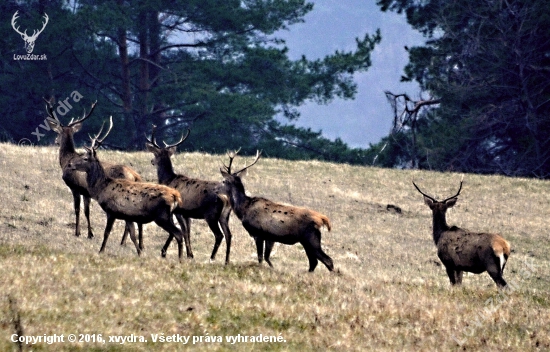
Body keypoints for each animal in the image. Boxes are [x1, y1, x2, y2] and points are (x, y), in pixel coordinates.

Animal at [45, 98, 143, 248]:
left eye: (58, 132)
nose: (56, 141)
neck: (67, 160)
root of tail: (136, 176)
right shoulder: (86, 192)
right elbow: (86, 211)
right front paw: (89, 233)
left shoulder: (75, 187)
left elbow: (78, 210)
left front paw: (79, 232)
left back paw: (124, 242)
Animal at [66, 120, 188, 258]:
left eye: (85, 158)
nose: (70, 164)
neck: (102, 189)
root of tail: (176, 196)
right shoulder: (128, 216)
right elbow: (132, 235)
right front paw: (139, 253)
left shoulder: (112, 211)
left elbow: (106, 232)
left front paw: (101, 250)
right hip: (169, 215)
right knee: (179, 232)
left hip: (162, 215)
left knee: (178, 233)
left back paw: (179, 258)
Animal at [144, 125, 233, 262]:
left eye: (155, 153)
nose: (151, 161)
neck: (168, 180)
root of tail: (225, 198)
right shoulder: (187, 213)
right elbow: (188, 231)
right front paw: (190, 254)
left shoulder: (177, 211)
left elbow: (179, 231)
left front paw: (165, 252)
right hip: (225, 215)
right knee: (229, 234)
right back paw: (227, 260)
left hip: (211, 214)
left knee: (219, 235)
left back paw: (212, 257)